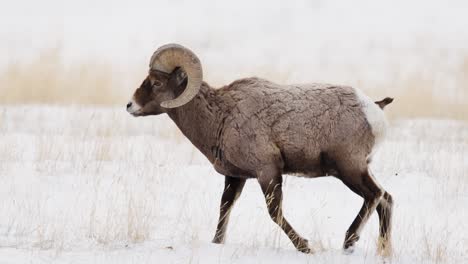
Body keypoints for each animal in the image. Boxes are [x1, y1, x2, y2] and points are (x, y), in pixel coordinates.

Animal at [126, 44, 394, 255]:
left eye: (157, 83)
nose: (130, 106)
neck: (221, 116)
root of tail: (373, 108)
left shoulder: (267, 172)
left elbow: (274, 212)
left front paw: (305, 247)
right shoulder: (235, 177)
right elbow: (224, 208)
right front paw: (217, 243)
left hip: (348, 169)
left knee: (375, 196)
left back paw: (349, 242)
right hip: (359, 169)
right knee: (386, 199)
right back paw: (383, 251)